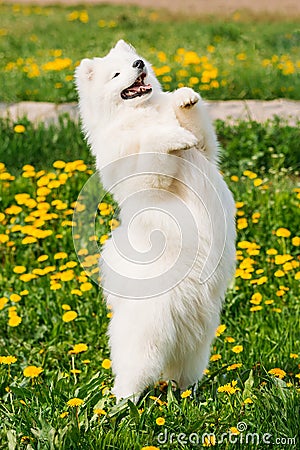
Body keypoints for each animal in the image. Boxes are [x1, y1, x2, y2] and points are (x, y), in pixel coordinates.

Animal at [74, 40, 234, 402]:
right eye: (117, 74)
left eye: (137, 61)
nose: (138, 65)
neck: (142, 114)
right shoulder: (144, 174)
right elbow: (154, 147)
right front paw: (173, 138)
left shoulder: (206, 149)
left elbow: (198, 130)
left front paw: (185, 97)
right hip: (146, 335)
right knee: (133, 373)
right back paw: (120, 403)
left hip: (197, 342)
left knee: (182, 369)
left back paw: (186, 393)